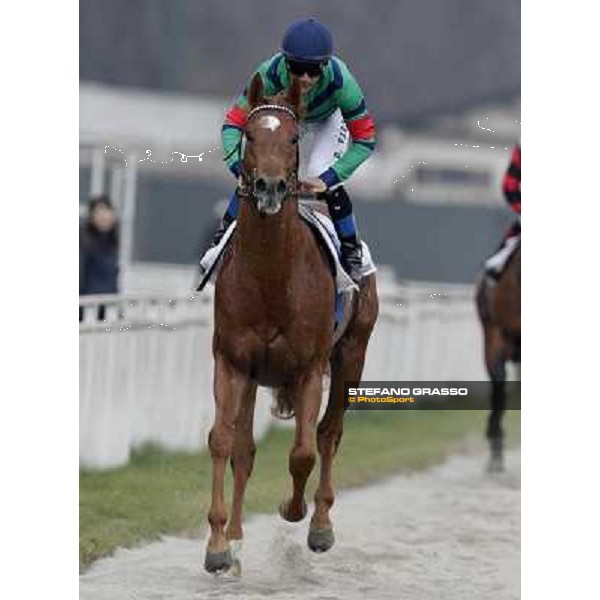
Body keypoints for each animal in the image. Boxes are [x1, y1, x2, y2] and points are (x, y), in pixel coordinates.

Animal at [204, 75, 378, 572]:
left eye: (294, 138)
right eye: (250, 135)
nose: (269, 186)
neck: (271, 276)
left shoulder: (308, 369)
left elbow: (302, 452)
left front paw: (294, 511)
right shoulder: (232, 362)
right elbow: (223, 442)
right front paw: (219, 545)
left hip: (351, 356)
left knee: (329, 434)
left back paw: (320, 523)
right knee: (244, 451)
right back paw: (236, 537)